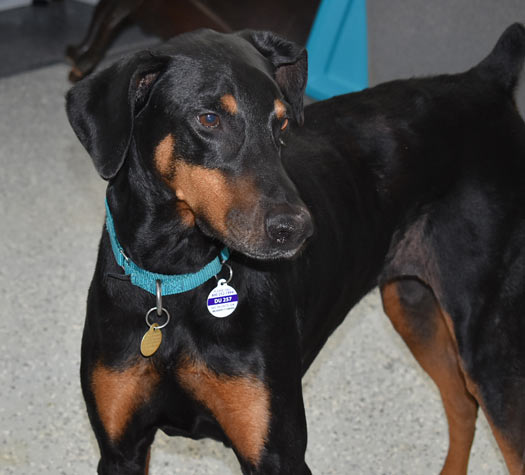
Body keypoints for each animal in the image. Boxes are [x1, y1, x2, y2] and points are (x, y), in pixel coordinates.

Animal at [66, 24, 525, 474]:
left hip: (485, 343)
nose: (299, 228)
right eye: (209, 118)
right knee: (462, 404)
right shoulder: (120, 449)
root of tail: (485, 80)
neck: (173, 279)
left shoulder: (277, 452)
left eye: (282, 124)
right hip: (412, 304)